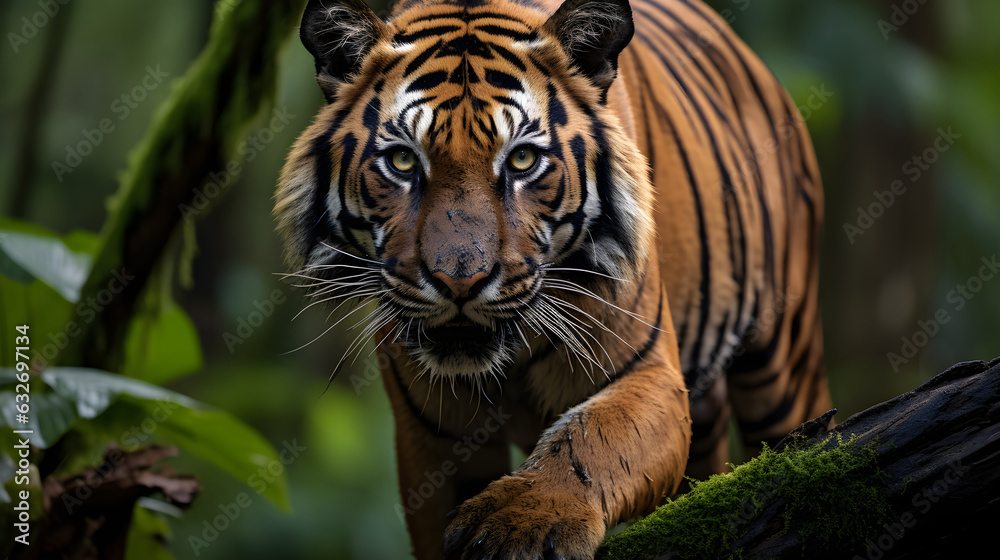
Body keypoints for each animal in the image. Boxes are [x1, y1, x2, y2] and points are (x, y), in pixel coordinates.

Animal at [274, 0, 832, 557]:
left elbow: (590, 439)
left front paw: (521, 519)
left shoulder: (651, 374)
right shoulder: (431, 438)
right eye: (403, 160)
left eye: (522, 159)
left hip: (785, 362)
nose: (460, 281)